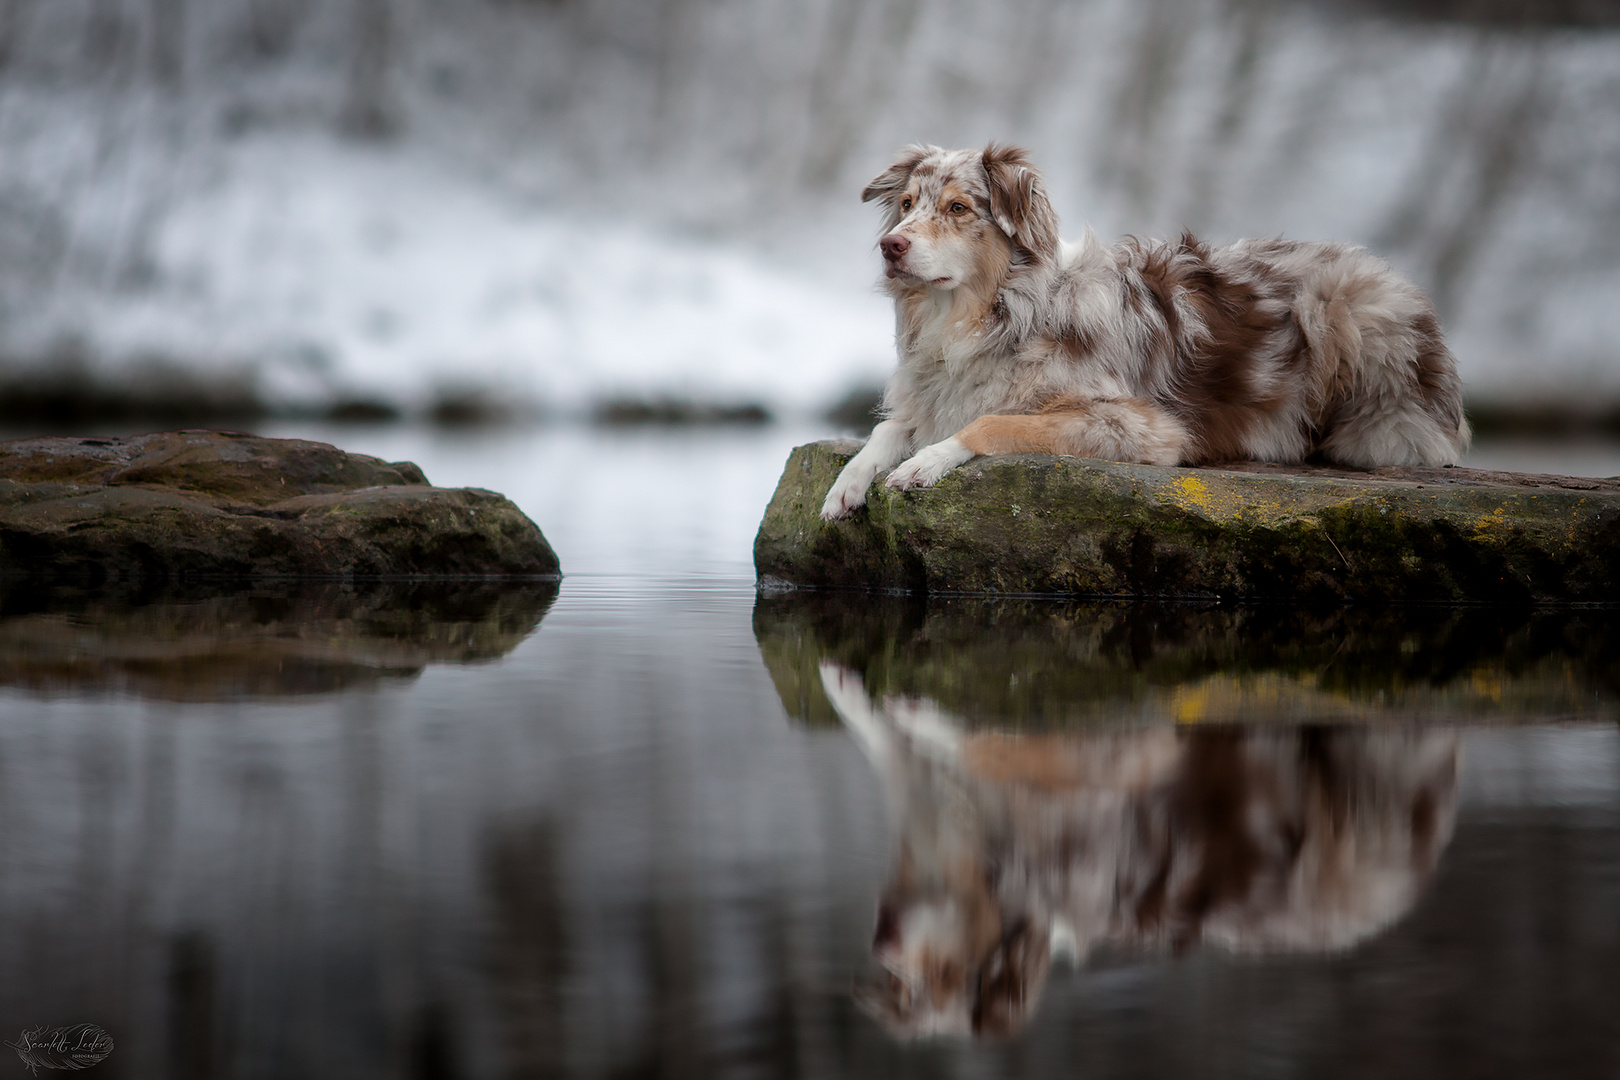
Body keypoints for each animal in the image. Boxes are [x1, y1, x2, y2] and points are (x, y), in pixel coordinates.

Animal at [822, 141, 1470, 521]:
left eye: (959, 208)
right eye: (908, 204)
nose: (889, 246)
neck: (993, 314)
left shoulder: (1141, 426)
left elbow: (992, 423)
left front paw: (925, 463)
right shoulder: (933, 394)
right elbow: (887, 430)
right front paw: (847, 485)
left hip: (1342, 299)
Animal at [822, 660, 1458, 1036]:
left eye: (948, 977)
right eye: (903, 996)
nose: (881, 941)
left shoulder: (1119, 756)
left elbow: (986, 742)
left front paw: (922, 715)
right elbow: (875, 728)